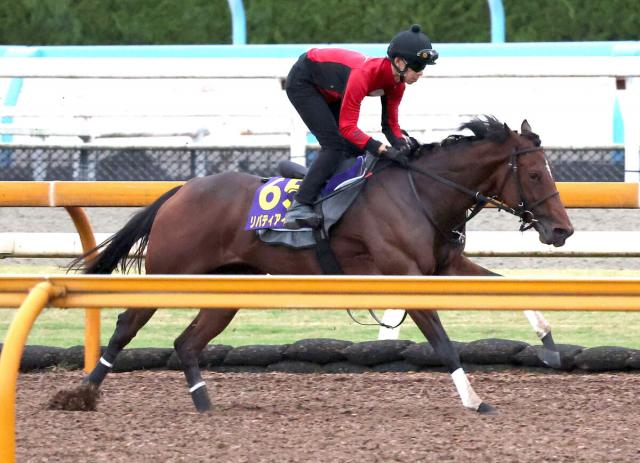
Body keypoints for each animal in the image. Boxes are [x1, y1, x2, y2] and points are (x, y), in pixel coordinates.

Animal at [56, 118, 576, 416]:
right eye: (535, 174)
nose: (562, 230)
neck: (421, 193)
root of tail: (180, 191)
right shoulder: (407, 277)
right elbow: (445, 344)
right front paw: (474, 400)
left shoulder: (444, 268)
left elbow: (514, 291)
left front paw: (550, 346)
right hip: (171, 273)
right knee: (127, 325)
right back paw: (82, 394)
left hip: (229, 286)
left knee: (187, 341)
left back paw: (203, 401)